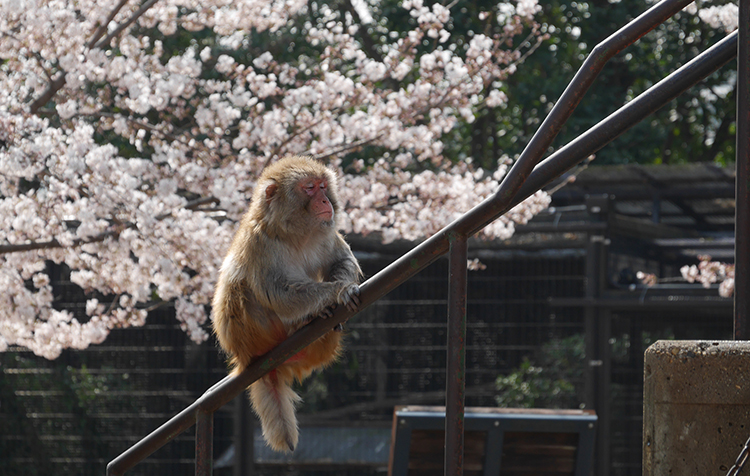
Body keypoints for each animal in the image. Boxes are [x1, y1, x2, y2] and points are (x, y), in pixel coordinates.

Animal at [212, 154, 364, 452]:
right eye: (309, 188)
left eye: (322, 186)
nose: (326, 201)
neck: (294, 234)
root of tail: (245, 358)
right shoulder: (260, 243)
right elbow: (280, 296)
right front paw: (337, 292)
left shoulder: (325, 232)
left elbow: (341, 260)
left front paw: (344, 288)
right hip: (252, 335)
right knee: (240, 289)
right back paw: (303, 321)